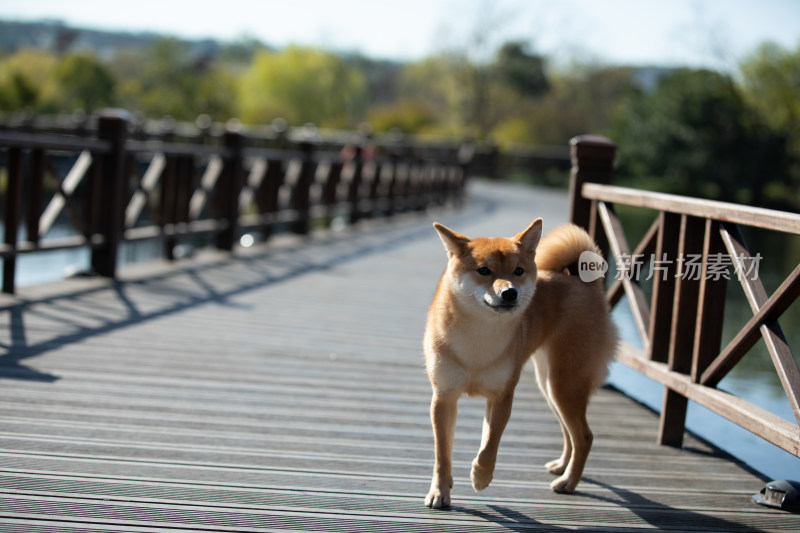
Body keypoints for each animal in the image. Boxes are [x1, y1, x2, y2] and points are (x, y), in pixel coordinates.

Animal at [424, 219, 620, 508]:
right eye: (484, 270)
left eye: (518, 271)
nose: (509, 292)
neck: (479, 335)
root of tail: (585, 284)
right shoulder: (444, 397)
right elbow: (442, 453)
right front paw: (440, 490)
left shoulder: (502, 397)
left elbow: (489, 445)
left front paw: (481, 477)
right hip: (550, 386)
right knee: (570, 433)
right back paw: (562, 467)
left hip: (564, 385)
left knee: (584, 436)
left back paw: (569, 482)